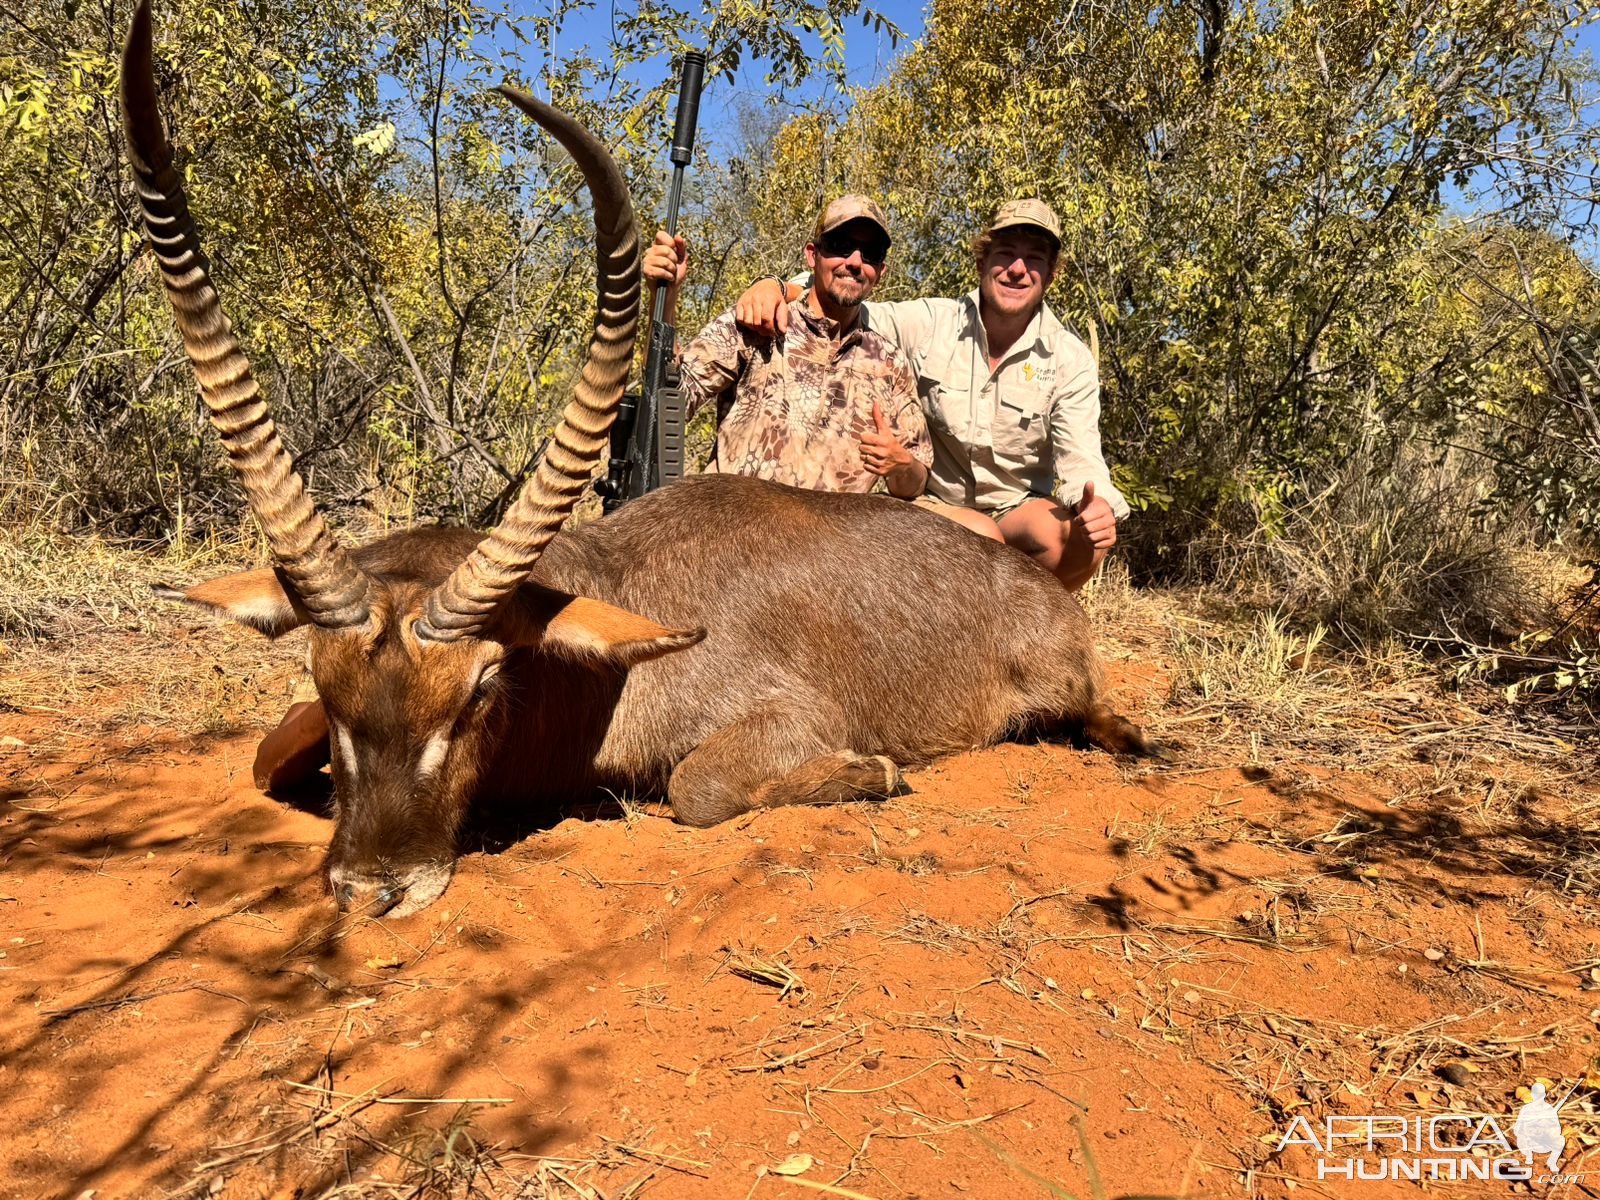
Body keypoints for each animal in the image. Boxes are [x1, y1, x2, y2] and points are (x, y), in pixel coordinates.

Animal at [118, 0, 1158, 921]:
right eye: (323, 683)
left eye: (482, 687)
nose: (376, 887)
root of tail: (1032, 586)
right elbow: (264, 759)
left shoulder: (780, 717)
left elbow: (697, 788)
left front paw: (874, 771)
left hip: (1065, 680)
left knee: (1094, 712)